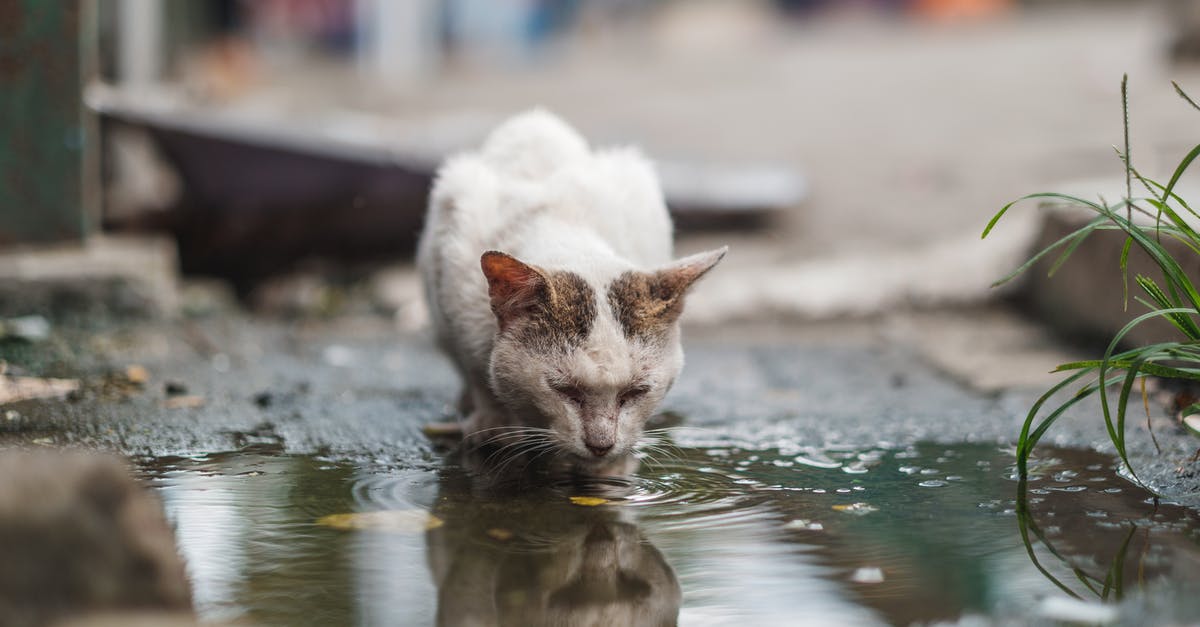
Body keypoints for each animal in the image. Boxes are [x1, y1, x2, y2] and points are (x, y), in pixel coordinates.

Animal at [417, 108, 724, 468]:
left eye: (636, 392)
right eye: (564, 390)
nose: (601, 445)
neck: (563, 225)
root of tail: (536, 118)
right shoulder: (452, 297)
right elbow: (476, 371)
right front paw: (493, 426)